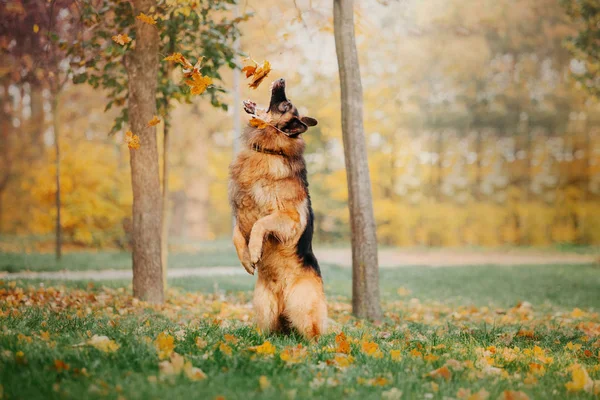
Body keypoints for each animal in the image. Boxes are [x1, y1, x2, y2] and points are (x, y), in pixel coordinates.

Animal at [227, 79, 328, 340]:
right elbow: (236, 236)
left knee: (313, 334)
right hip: (263, 307)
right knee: (267, 331)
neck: (268, 150)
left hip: (301, 305)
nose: (281, 79)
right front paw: (246, 259)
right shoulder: (239, 215)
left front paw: (254, 250)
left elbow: (260, 224)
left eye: (285, 104)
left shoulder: (288, 219)